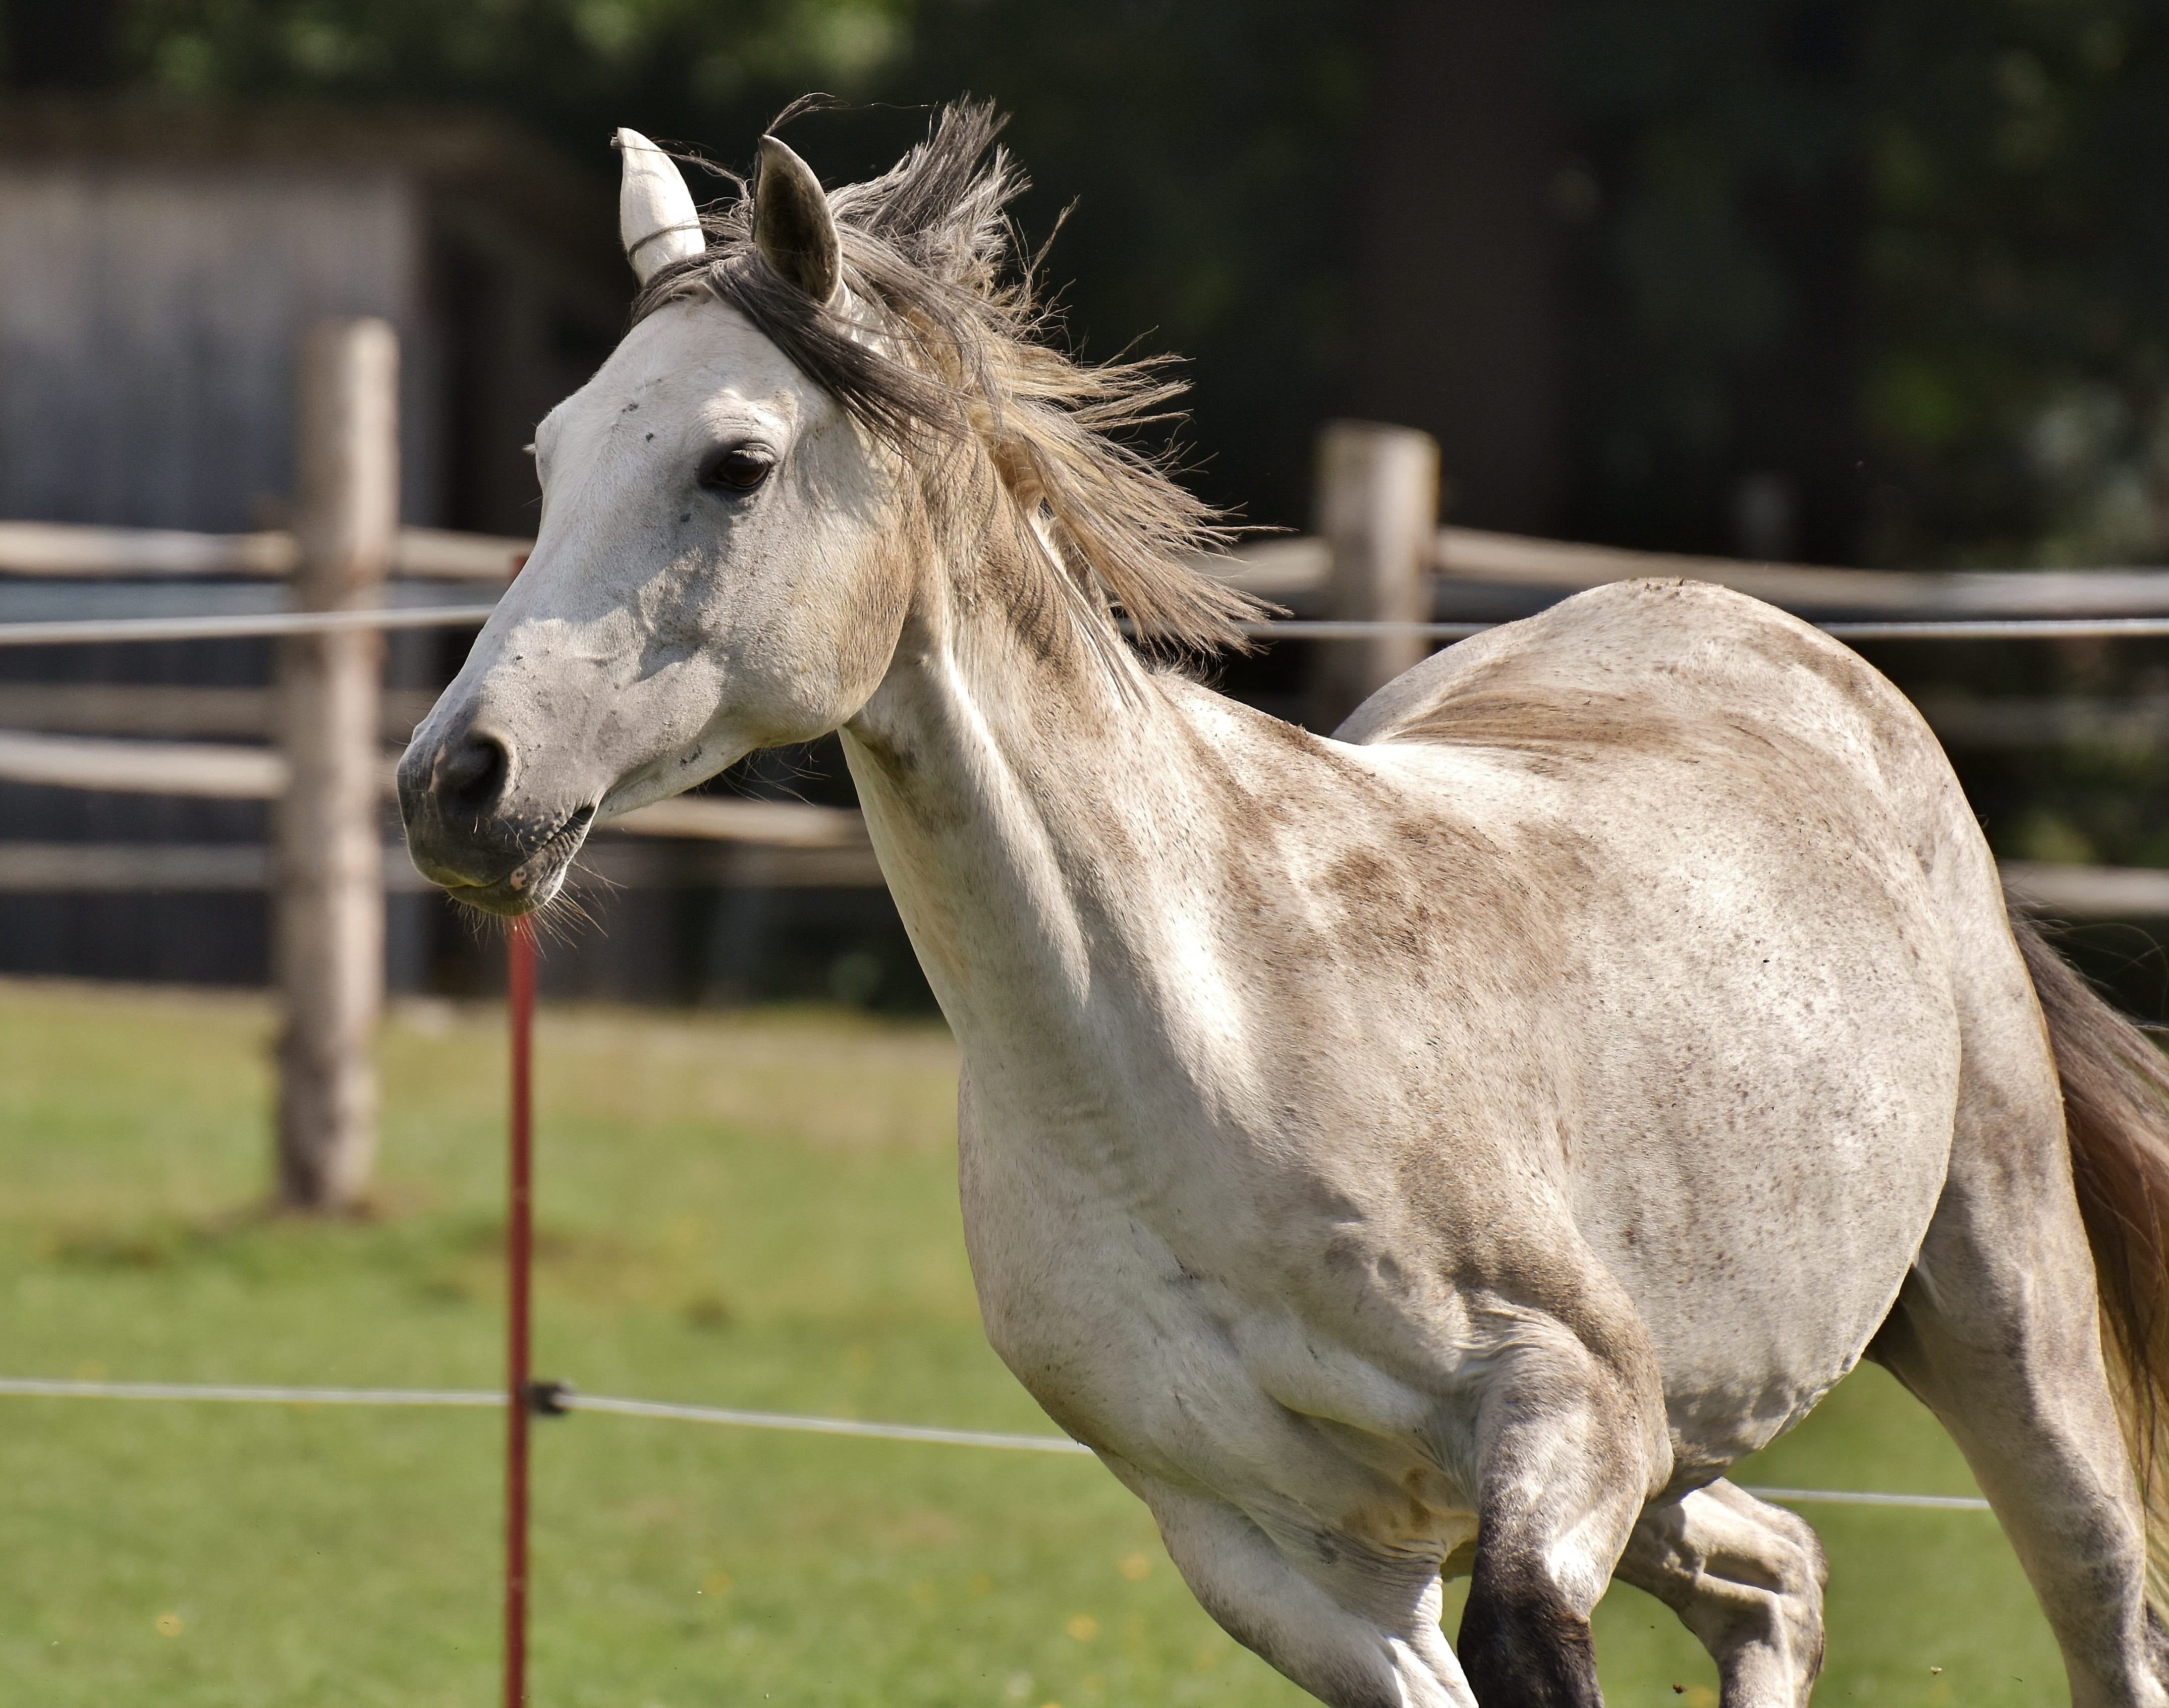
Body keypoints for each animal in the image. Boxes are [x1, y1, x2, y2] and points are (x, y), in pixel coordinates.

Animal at [398, 104, 2169, 1708]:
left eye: (736, 462)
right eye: (550, 456)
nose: (456, 783)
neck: (1193, 1041)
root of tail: (1776, 642)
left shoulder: (1571, 1408)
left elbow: (1533, 1649)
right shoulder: (1277, 1551)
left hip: (1995, 1323)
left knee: (2101, 1607)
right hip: (1687, 1450)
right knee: (1780, 1579)